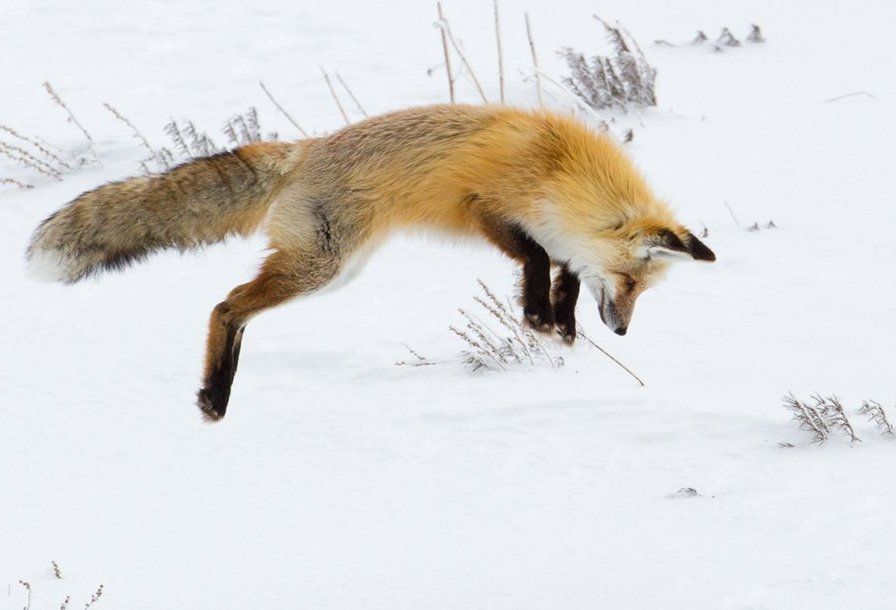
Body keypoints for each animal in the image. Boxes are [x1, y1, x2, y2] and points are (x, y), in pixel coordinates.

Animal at [28, 104, 712, 418]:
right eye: (631, 280)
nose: (620, 331)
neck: (560, 171)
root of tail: (305, 150)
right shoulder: (486, 207)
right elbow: (537, 259)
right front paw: (542, 320)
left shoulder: (556, 239)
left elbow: (562, 276)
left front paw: (558, 327)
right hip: (324, 266)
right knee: (225, 306)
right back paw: (216, 394)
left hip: (331, 270)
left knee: (238, 310)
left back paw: (217, 391)